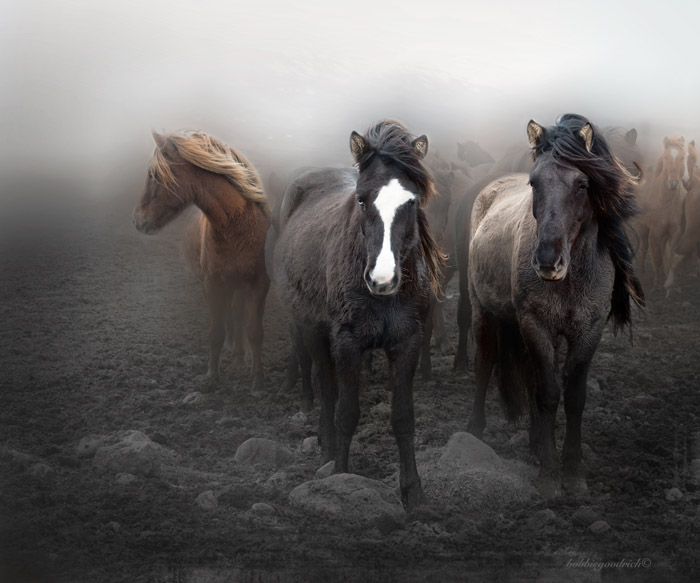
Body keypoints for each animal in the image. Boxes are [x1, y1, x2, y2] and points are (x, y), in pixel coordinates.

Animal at [133, 131, 270, 394]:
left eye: (153, 175)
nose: (137, 220)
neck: (236, 228)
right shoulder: (213, 284)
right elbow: (216, 332)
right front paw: (211, 378)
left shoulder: (259, 285)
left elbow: (255, 331)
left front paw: (257, 381)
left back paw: (240, 358)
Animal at [274, 120, 442, 512]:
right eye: (362, 199)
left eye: (412, 201)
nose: (382, 279)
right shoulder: (347, 342)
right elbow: (346, 412)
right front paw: (339, 478)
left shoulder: (407, 343)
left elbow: (403, 418)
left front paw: (413, 492)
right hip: (312, 329)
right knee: (325, 386)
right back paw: (326, 450)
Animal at [468, 114, 644, 498]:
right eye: (534, 182)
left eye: (582, 184)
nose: (548, 260)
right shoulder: (535, 324)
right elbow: (548, 394)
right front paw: (549, 477)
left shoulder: (587, 330)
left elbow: (573, 397)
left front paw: (573, 474)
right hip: (483, 312)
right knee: (485, 364)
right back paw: (474, 431)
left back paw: (534, 445)